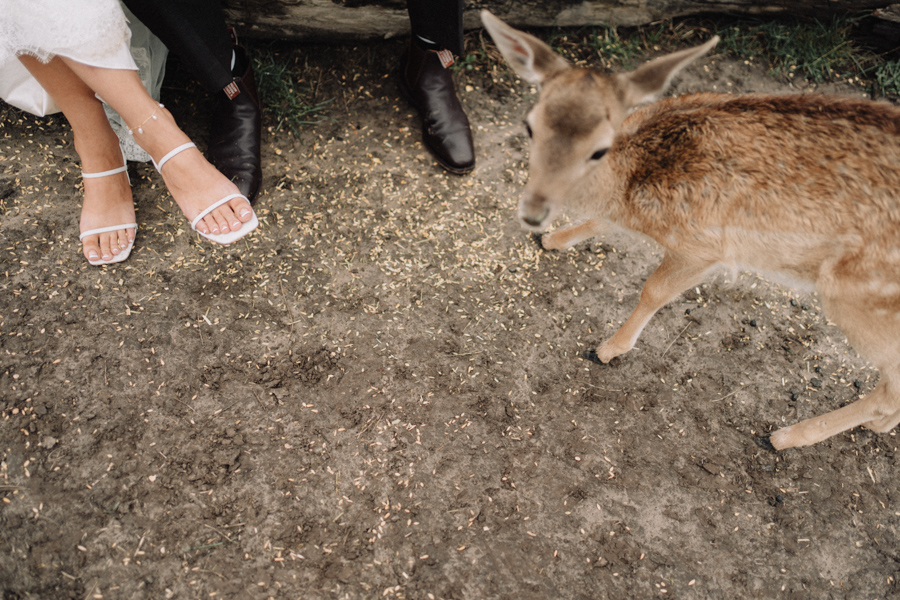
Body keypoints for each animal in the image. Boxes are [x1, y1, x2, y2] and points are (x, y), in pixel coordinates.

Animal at [482, 10, 900, 450]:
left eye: (599, 149)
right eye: (529, 126)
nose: (532, 213)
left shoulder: (704, 246)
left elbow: (654, 291)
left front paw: (608, 349)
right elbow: (601, 221)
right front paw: (552, 240)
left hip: (861, 301)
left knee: (890, 389)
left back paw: (784, 436)